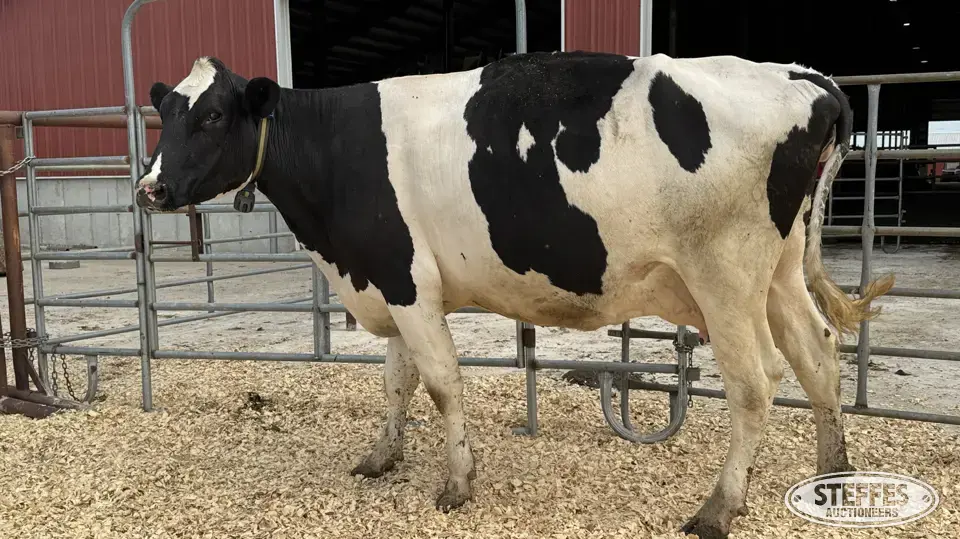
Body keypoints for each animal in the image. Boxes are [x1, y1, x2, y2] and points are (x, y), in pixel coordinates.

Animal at [135, 51, 894, 538]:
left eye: (212, 117)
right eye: (165, 113)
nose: (150, 188)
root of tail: (805, 78)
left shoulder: (407, 281)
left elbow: (441, 383)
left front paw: (457, 483)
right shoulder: (387, 282)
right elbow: (395, 381)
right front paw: (381, 457)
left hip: (726, 277)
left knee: (757, 381)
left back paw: (717, 509)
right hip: (780, 270)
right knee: (819, 352)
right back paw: (832, 471)